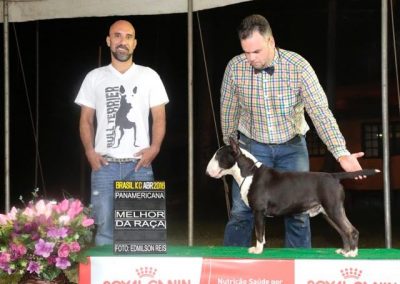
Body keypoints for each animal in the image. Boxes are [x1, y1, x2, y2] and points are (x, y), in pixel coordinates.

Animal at [208, 138, 380, 258]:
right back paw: (345, 251)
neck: (249, 172)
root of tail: (334, 176)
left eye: (218, 156)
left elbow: (258, 232)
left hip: (333, 209)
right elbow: (262, 233)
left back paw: (352, 253)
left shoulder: (258, 211)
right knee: (343, 231)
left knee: (351, 230)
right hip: (327, 212)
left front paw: (257, 250)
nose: (207, 171)